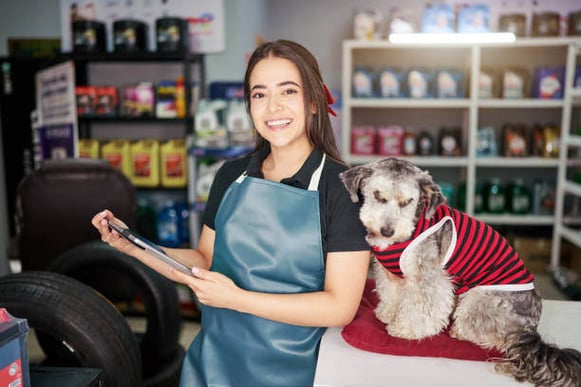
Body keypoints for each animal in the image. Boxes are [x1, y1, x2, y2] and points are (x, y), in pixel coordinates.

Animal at [340, 158, 580, 387]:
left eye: (407, 201)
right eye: (377, 195)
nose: (387, 231)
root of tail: (531, 329)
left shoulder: (428, 277)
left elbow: (423, 306)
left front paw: (406, 329)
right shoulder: (391, 274)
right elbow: (392, 295)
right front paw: (388, 313)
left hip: (479, 300)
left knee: (497, 337)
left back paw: (460, 332)